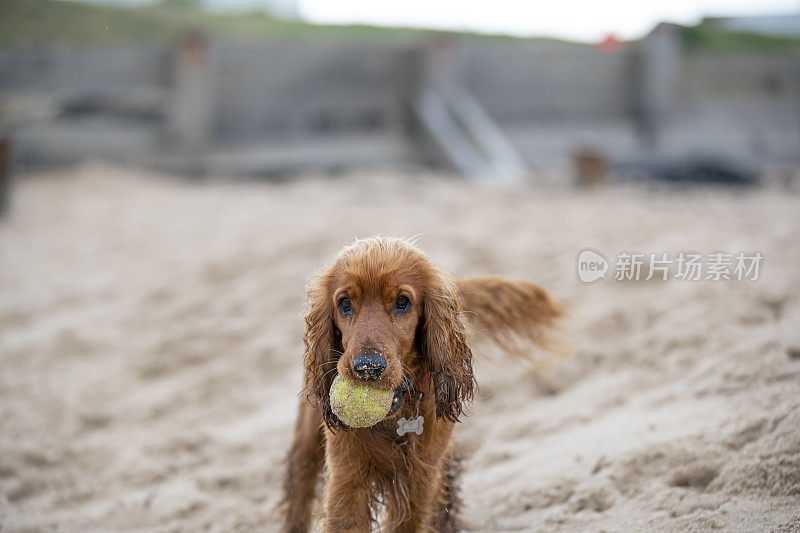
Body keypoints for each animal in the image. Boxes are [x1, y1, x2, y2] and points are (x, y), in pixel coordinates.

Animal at [282, 238, 564, 532]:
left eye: (402, 302)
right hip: (307, 441)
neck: (396, 417)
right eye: (345, 303)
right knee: (299, 490)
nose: (367, 367)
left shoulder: (420, 480)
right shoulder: (347, 476)